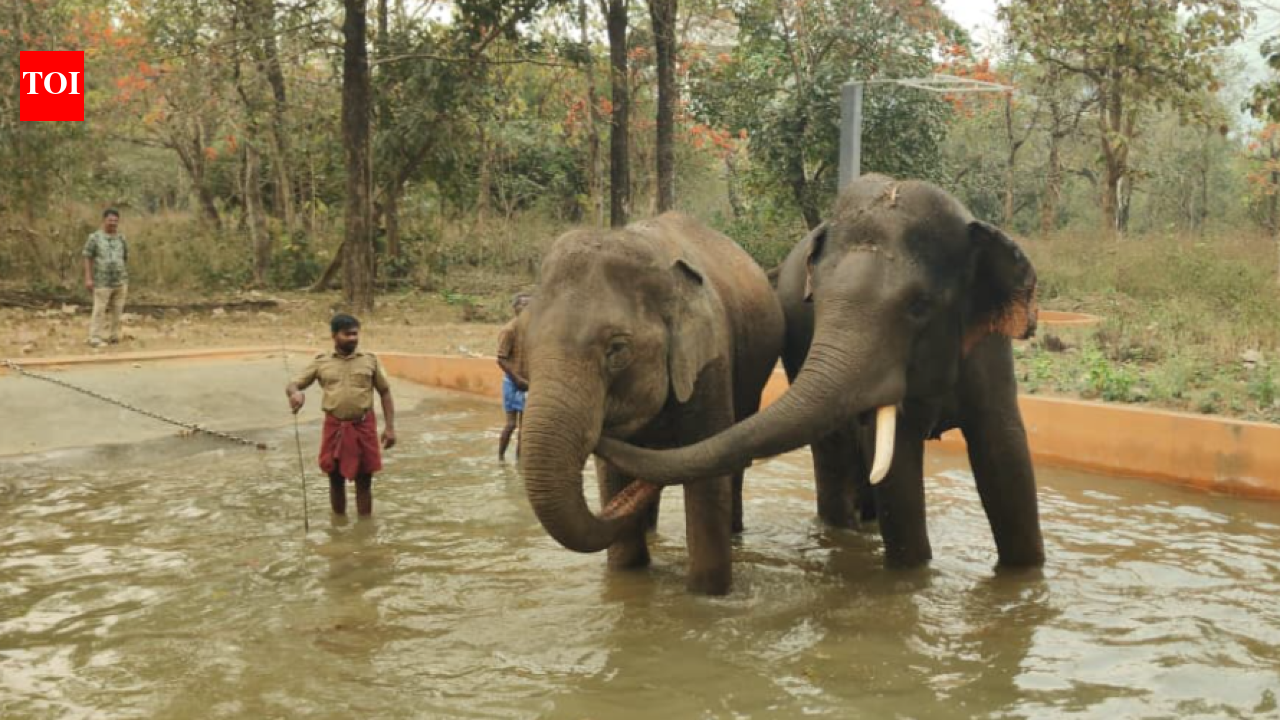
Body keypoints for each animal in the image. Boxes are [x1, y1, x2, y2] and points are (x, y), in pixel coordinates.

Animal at [518, 212, 785, 595]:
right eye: (522, 348)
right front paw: (626, 577)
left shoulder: (711, 361)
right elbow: (612, 476)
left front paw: (707, 594)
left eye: (617, 349)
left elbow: (707, 478)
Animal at [596, 175, 1045, 569]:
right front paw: (913, 573)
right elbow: (897, 466)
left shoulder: (989, 349)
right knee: (834, 449)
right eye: (818, 302)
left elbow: (1005, 454)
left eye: (920, 306)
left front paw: (1024, 574)